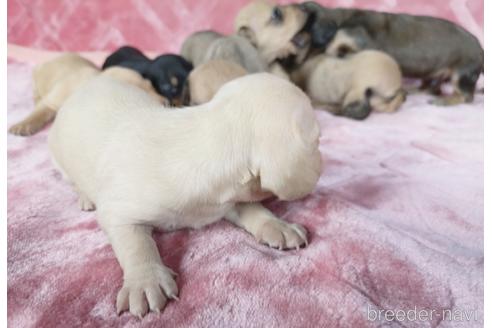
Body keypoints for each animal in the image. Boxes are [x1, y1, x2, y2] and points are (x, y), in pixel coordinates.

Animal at [8, 53, 166, 136]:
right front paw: (22, 125)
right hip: (37, 76)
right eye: (140, 94)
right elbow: (40, 112)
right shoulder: (54, 98)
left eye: (151, 86)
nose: (165, 102)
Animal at [48, 72, 320, 318]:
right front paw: (145, 279)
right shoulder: (119, 211)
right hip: (60, 156)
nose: (321, 158)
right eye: (317, 141)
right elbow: (136, 244)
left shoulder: (223, 198)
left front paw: (278, 225)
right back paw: (85, 197)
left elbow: (251, 208)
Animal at [300, 1, 484, 105]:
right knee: (432, 86)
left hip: (461, 75)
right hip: (436, 74)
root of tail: (482, 51)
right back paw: (419, 90)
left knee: (466, 96)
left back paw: (445, 101)